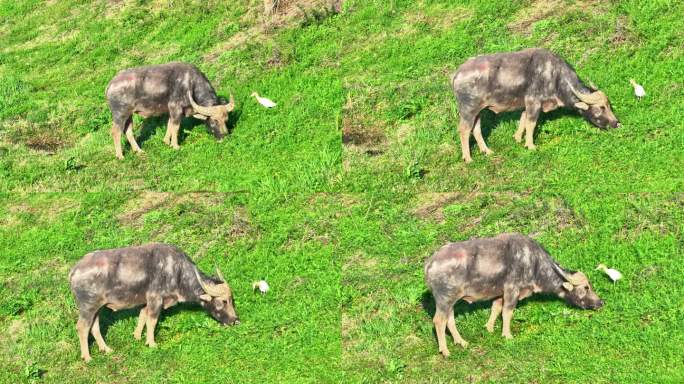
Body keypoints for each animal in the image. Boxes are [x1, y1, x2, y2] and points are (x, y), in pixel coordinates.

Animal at [105, 62, 235, 158]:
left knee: (128, 131)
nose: (224, 136)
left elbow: (169, 125)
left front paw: (166, 141)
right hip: (120, 115)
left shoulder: (171, 111)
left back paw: (139, 151)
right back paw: (120, 156)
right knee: (116, 132)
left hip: (129, 115)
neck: (189, 84)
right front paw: (175, 146)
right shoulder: (175, 108)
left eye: (226, 120)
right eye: (214, 121)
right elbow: (176, 127)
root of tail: (110, 85)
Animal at [424, 232, 600, 356]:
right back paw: (445, 350)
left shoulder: (500, 293)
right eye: (586, 287)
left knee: (449, 320)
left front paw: (489, 328)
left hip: (451, 301)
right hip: (444, 299)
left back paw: (461, 342)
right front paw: (507, 335)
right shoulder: (512, 290)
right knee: (439, 321)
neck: (533, 263)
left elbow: (496, 308)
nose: (600, 303)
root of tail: (429, 264)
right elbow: (507, 312)